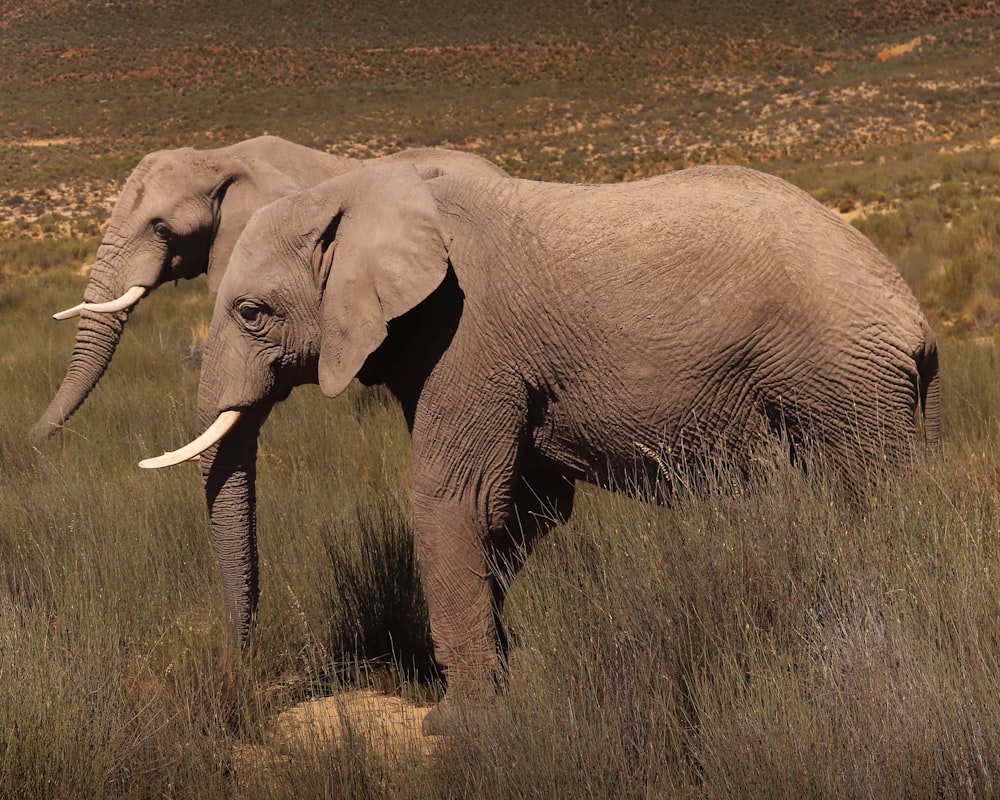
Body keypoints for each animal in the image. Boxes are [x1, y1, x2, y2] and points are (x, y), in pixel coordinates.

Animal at [139, 159, 936, 736]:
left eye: (252, 313)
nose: (238, 674)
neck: (359, 190)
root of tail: (915, 322)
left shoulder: (466, 337)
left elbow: (454, 502)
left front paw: (457, 724)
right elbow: (525, 508)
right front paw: (509, 681)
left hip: (844, 384)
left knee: (866, 504)